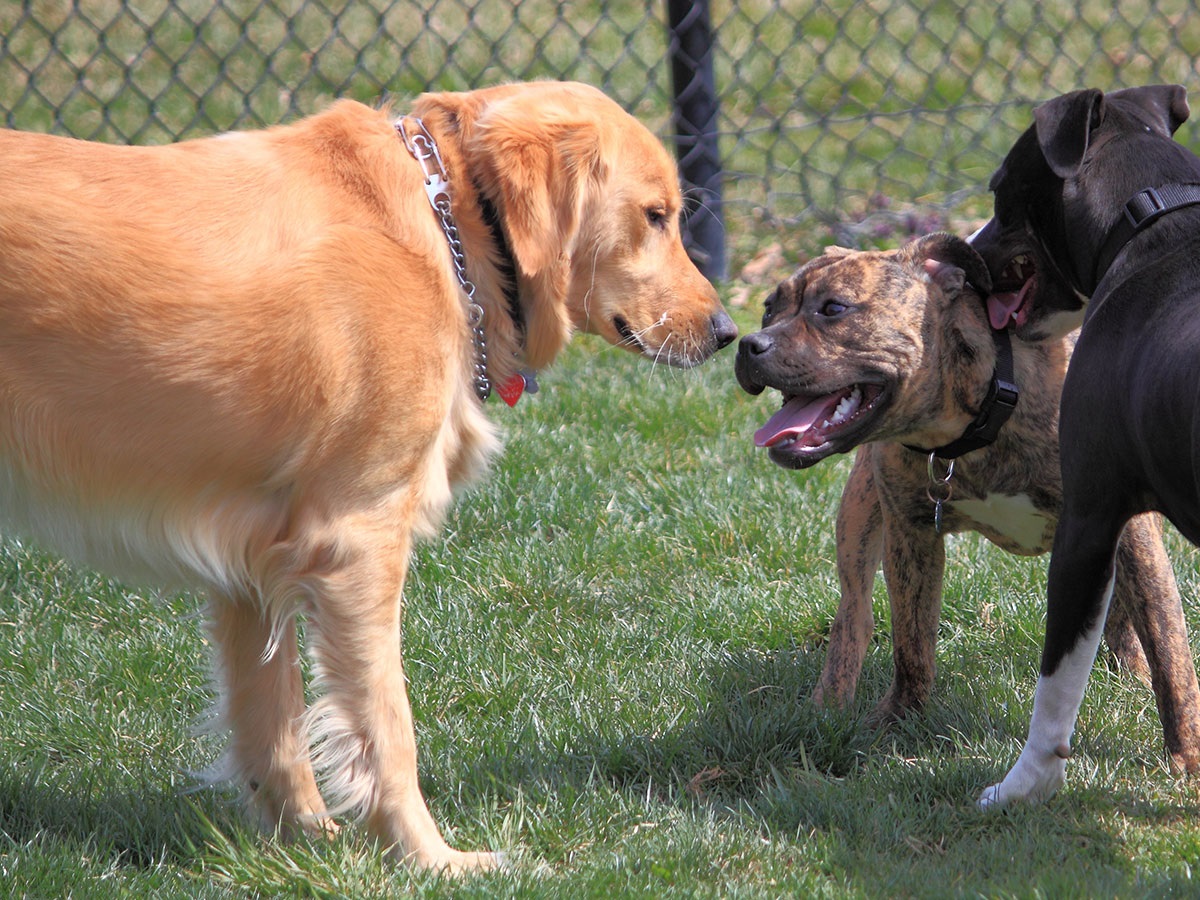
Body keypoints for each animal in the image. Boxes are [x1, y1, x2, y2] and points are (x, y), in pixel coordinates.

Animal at [729, 230, 1200, 768]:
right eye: (768, 309)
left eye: (834, 309)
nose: (748, 344)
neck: (972, 425)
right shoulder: (910, 535)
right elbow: (912, 642)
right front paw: (900, 719)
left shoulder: (1126, 529)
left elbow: (1169, 650)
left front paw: (1185, 759)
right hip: (858, 516)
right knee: (855, 614)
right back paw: (829, 704)